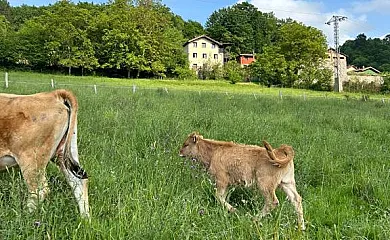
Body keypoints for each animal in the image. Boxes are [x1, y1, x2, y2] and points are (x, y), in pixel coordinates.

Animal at [0, 89, 90, 218]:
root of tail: (52, 94)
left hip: (31, 159)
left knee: (39, 191)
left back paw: (24, 218)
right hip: (64, 154)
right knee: (79, 182)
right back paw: (85, 219)